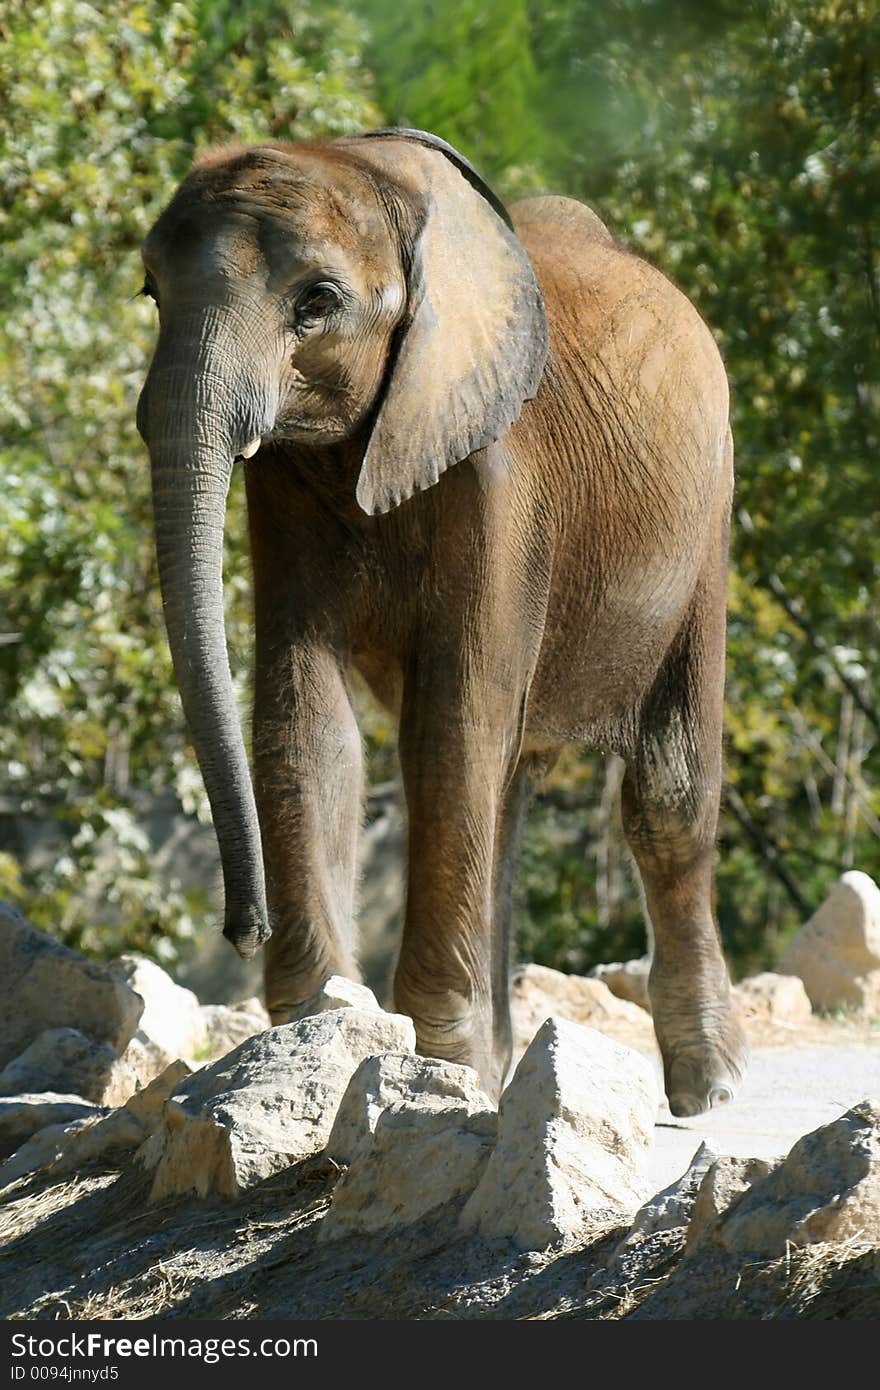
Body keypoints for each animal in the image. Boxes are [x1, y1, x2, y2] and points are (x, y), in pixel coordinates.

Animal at [139, 125, 750, 1112]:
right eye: (151, 291)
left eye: (318, 302)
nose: (240, 928)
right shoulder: (282, 489)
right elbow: (309, 723)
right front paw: (324, 1029)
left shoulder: (501, 477)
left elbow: (449, 728)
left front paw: (434, 1072)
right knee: (508, 795)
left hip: (707, 523)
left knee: (665, 791)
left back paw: (708, 1091)